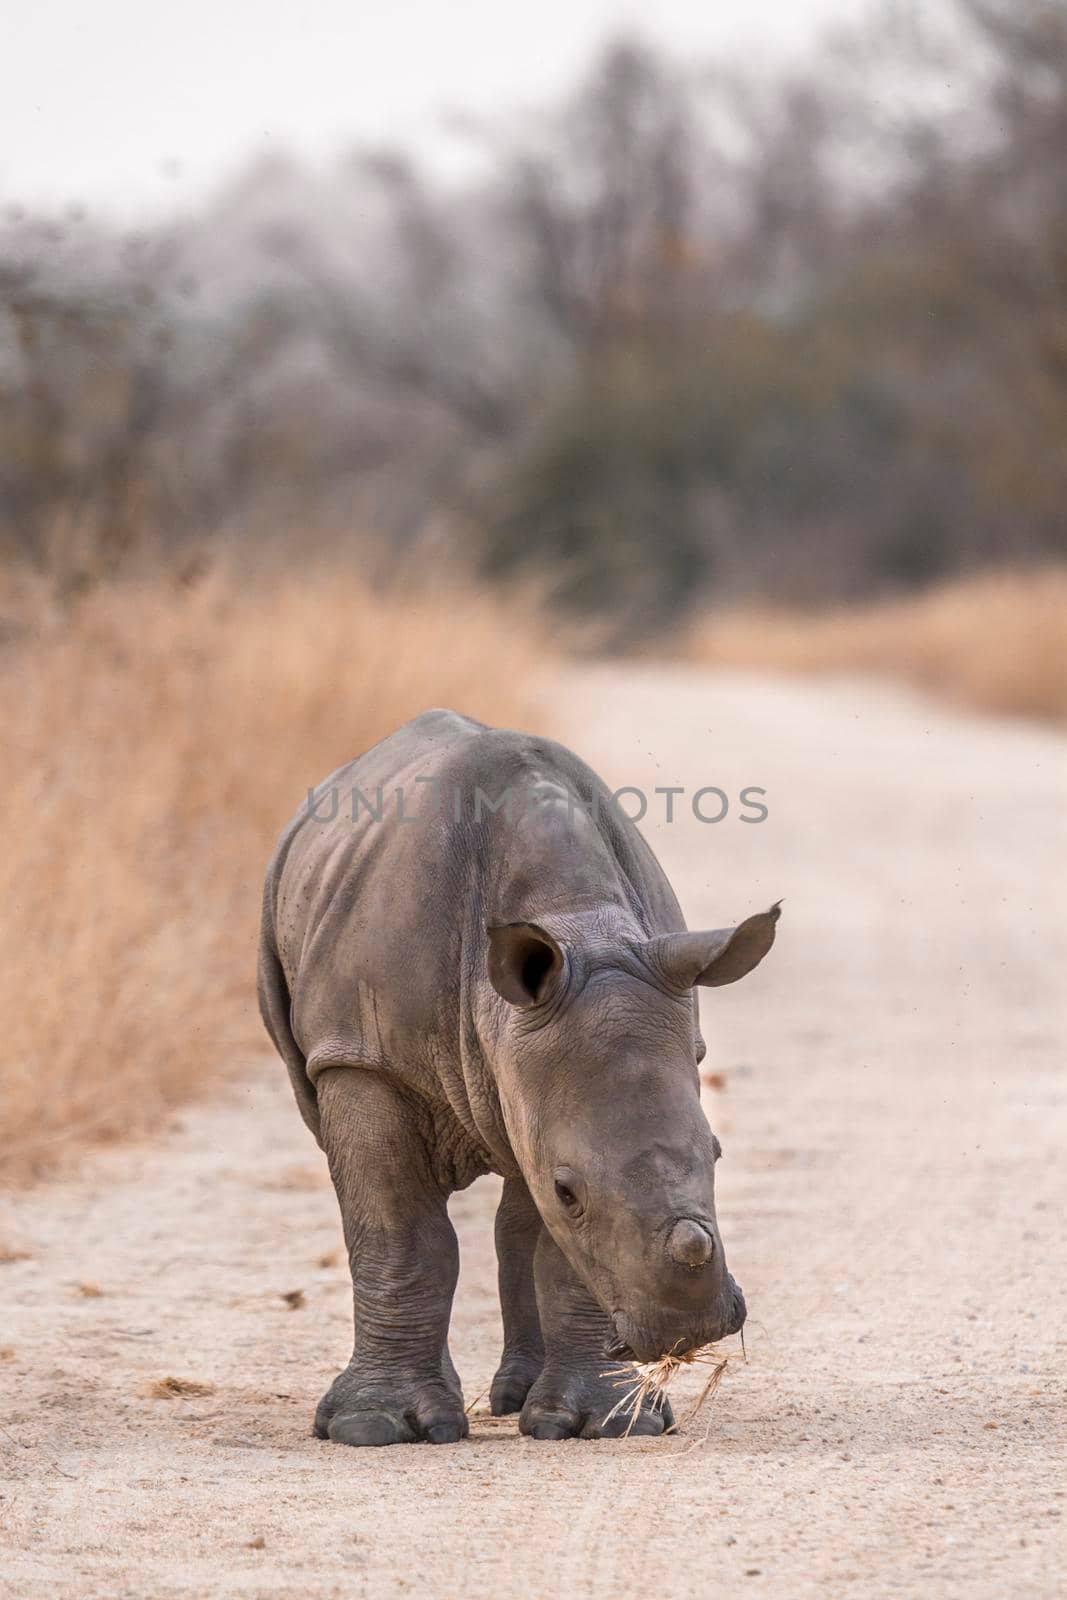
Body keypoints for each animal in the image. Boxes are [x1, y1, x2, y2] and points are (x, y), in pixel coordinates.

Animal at [257, 713, 777, 1452]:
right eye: (568, 1191)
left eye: (717, 1154)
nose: (691, 1329)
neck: (578, 917)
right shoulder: (360, 1056)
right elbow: (400, 1235)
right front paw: (371, 1428)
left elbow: (561, 1256)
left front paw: (603, 1426)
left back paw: (517, 1402)